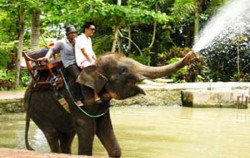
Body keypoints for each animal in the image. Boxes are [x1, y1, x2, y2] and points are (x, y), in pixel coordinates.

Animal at [23, 51, 195, 157]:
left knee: (67, 136)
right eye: (123, 70)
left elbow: (105, 127)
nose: (191, 54)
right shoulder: (78, 100)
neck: (93, 65)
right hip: (37, 113)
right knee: (51, 134)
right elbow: (87, 128)